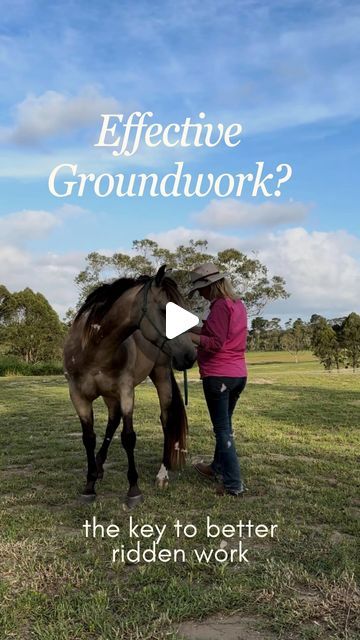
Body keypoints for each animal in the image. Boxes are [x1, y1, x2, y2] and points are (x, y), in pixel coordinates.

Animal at [63, 264, 195, 504]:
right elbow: (89, 438)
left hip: (160, 376)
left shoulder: (125, 391)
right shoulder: (78, 397)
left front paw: (134, 490)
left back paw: (162, 474)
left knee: (165, 420)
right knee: (112, 422)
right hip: (109, 394)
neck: (93, 350)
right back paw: (99, 467)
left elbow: (128, 437)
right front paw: (89, 485)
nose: (191, 356)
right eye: (165, 310)